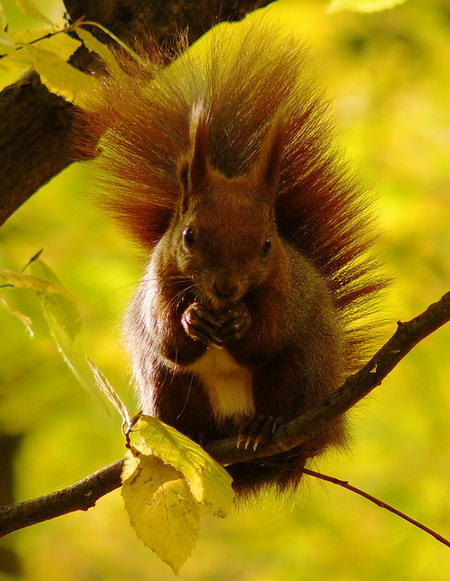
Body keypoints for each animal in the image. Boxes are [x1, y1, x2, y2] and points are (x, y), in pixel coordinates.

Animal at [83, 22, 386, 494]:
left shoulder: (285, 293)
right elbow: (169, 339)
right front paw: (191, 319)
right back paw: (195, 435)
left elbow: (266, 336)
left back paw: (263, 427)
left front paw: (242, 322)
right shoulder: (159, 286)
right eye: (188, 235)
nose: (225, 289)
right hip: (167, 386)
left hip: (298, 372)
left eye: (266, 244)